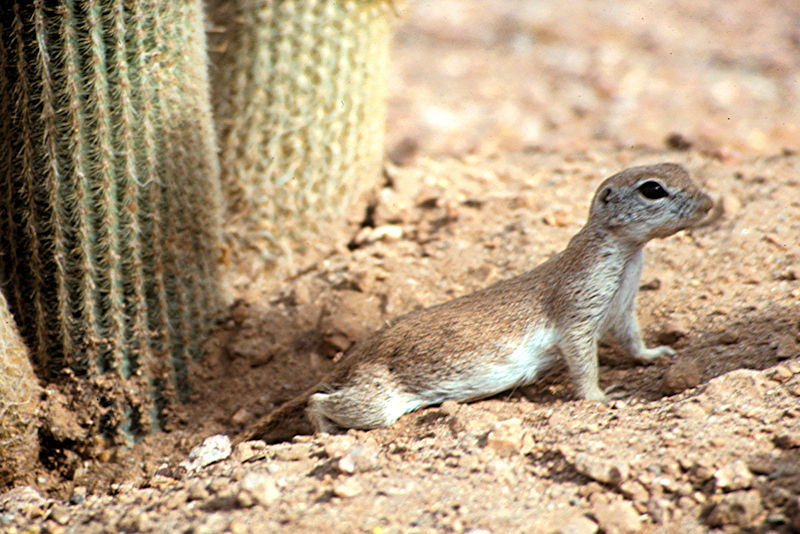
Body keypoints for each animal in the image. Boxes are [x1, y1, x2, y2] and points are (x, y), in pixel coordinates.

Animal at [238, 162, 712, 444]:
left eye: (687, 171)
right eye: (652, 189)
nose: (709, 203)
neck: (626, 256)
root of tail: (357, 352)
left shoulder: (622, 305)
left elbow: (630, 337)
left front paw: (654, 353)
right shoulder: (579, 304)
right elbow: (581, 357)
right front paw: (599, 396)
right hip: (377, 401)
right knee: (320, 402)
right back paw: (323, 430)